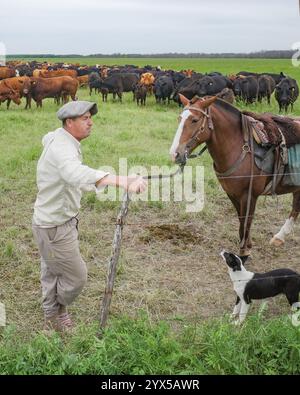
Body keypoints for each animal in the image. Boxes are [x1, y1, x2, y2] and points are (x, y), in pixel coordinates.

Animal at [170, 96, 300, 256]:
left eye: (194, 120)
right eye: (179, 118)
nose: (175, 154)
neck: (238, 147)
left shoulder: (249, 195)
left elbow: (246, 221)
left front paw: (243, 251)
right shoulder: (232, 193)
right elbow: (241, 220)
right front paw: (247, 245)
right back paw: (279, 237)